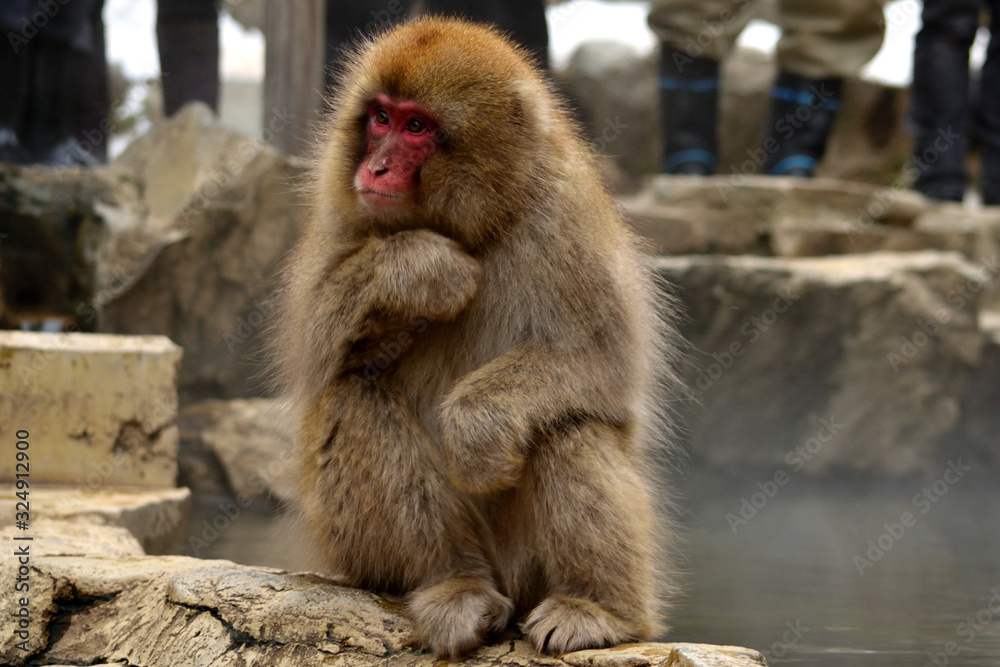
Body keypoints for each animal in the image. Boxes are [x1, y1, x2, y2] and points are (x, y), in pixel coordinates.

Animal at [271, 16, 683, 659]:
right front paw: (421, 270)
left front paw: (475, 429)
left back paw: (601, 609)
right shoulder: (343, 210)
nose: (375, 168)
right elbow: (312, 348)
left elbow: (606, 363)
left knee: (568, 428)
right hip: (361, 552)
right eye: (380, 117)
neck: (478, 223)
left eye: (417, 126)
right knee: (352, 396)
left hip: (529, 565)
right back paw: (455, 584)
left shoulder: (567, 219)